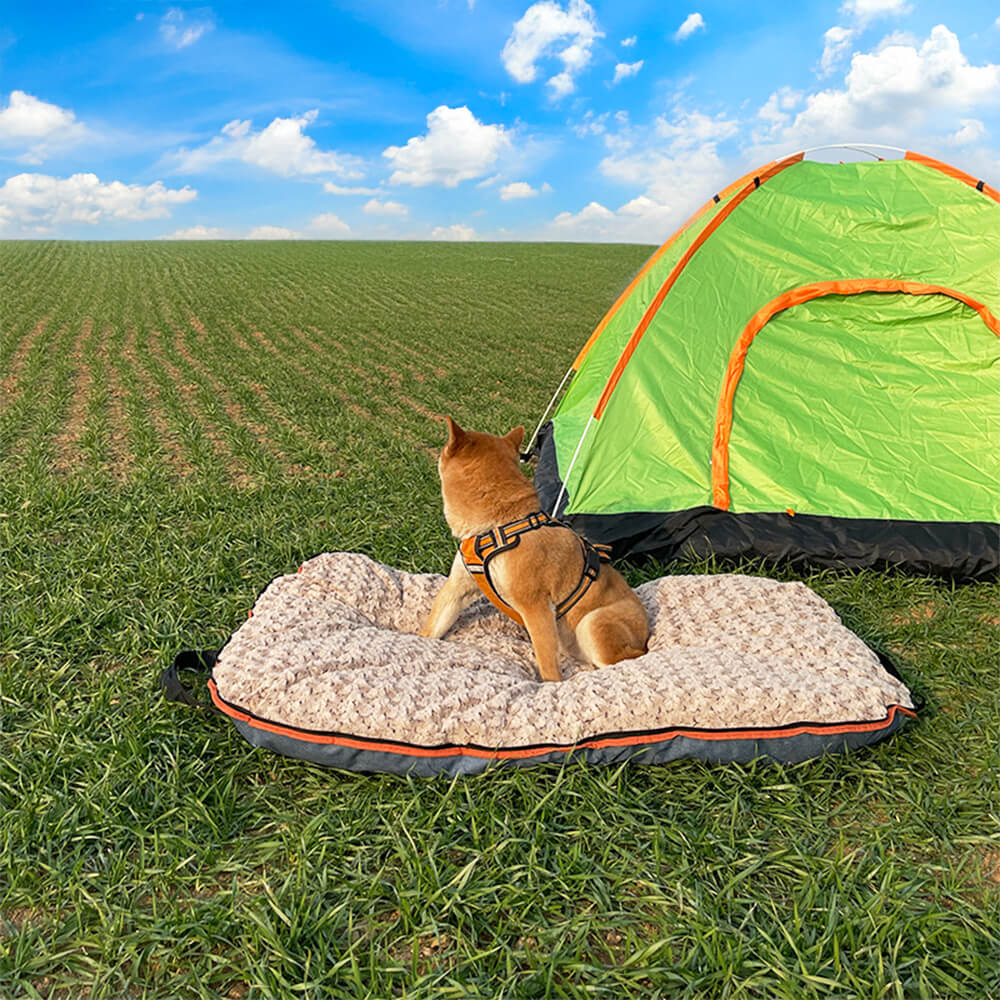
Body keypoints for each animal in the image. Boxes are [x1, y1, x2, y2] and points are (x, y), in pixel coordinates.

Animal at [420, 418, 648, 684]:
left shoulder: (536, 607)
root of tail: (645, 635)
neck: (500, 525)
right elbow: (432, 627)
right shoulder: (458, 589)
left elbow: (548, 666)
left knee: (623, 662)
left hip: (593, 623)